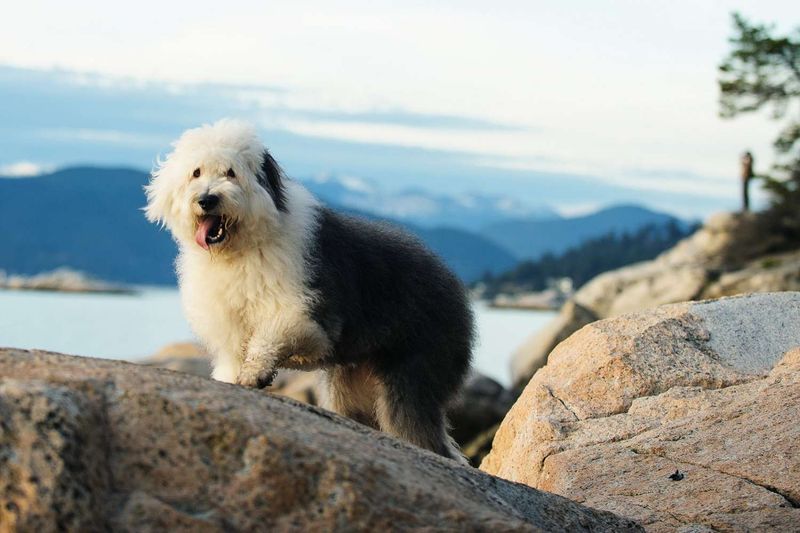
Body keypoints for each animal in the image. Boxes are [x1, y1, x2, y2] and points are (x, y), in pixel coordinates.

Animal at [145, 120, 476, 462]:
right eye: (196, 173)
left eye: (231, 173)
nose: (207, 199)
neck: (241, 249)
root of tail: (455, 284)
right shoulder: (230, 325)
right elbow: (231, 358)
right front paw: (234, 379)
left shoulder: (307, 311)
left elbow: (273, 335)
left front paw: (255, 373)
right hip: (350, 384)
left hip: (414, 372)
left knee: (423, 433)